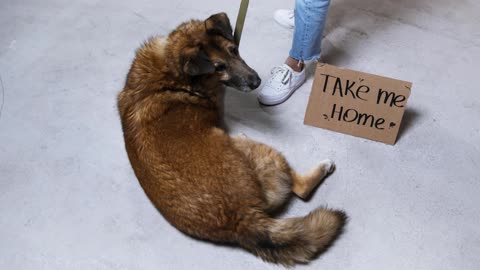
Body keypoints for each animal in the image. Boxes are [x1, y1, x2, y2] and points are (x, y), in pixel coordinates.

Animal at [118, 13, 346, 266]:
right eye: (219, 67)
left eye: (234, 50)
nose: (256, 81)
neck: (172, 72)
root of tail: (241, 220)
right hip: (261, 151)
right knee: (300, 188)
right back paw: (323, 166)